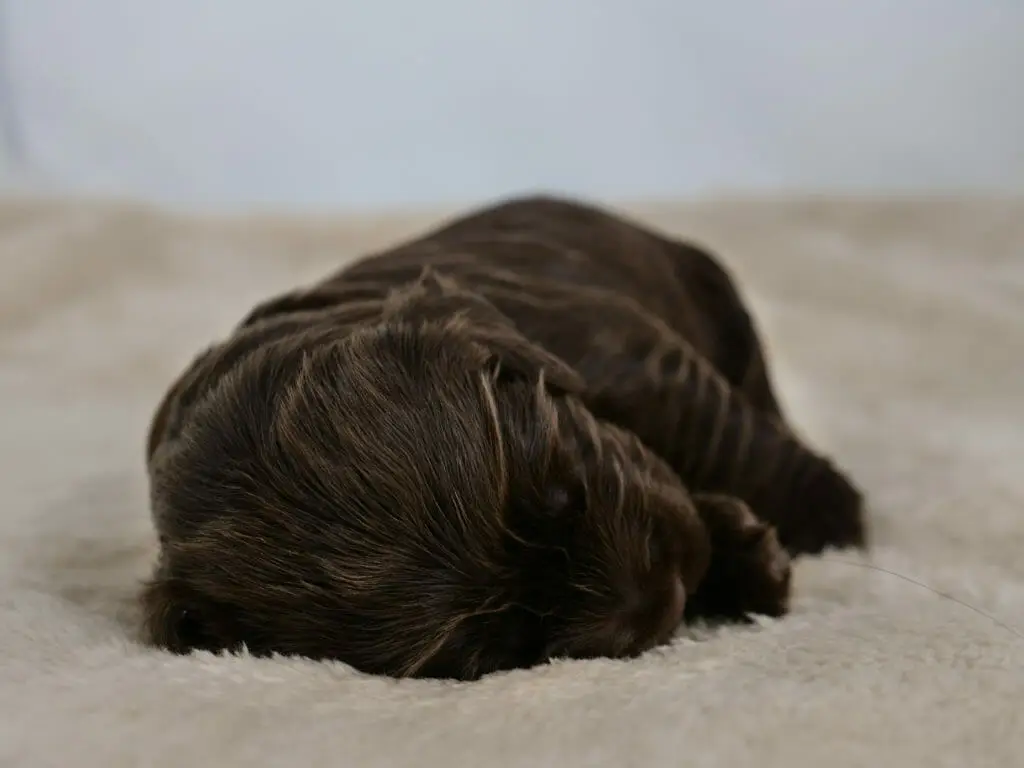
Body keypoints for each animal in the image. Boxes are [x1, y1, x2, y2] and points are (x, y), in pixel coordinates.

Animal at [142, 195, 864, 684]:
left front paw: (832, 524)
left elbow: (730, 441)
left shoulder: (631, 359)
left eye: (564, 488)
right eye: (508, 643)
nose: (664, 599)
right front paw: (744, 558)